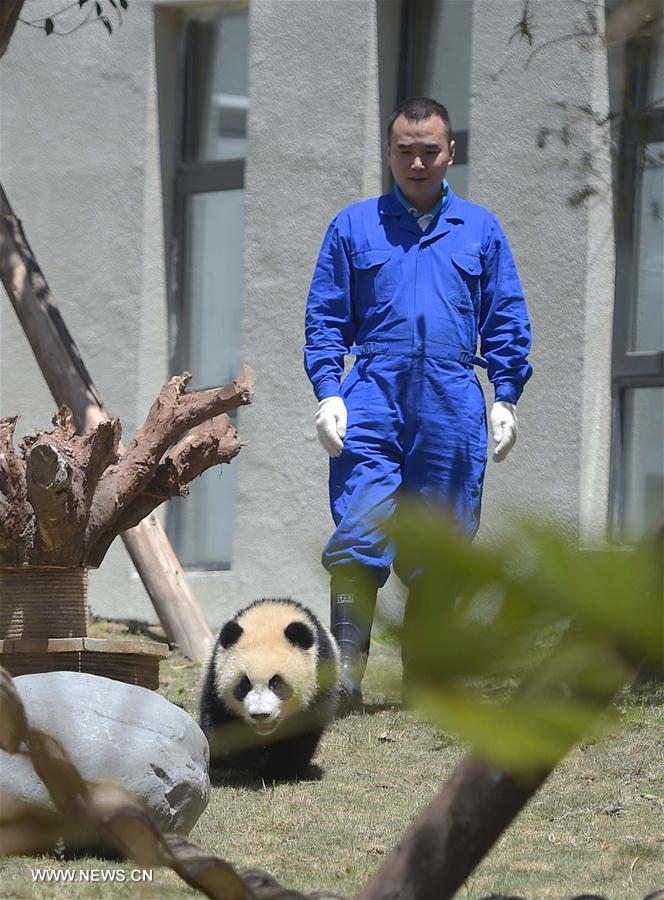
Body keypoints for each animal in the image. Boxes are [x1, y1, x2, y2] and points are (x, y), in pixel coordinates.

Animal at [200, 596, 340, 780]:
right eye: (244, 684)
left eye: (276, 683)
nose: (260, 715)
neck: (271, 616)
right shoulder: (214, 676)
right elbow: (219, 723)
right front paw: (255, 757)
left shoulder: (321, 675)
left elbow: (303, 731)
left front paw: (279, 770)